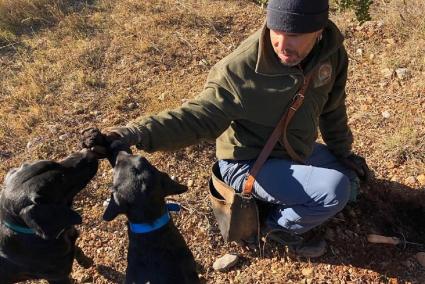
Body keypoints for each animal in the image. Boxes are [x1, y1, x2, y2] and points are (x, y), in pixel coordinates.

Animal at [0, 150, 97, 282]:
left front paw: (85, 261)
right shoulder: (58, 277)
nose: (89, 152)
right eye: (62, 180)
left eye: (56, 162)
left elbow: (77, 249)